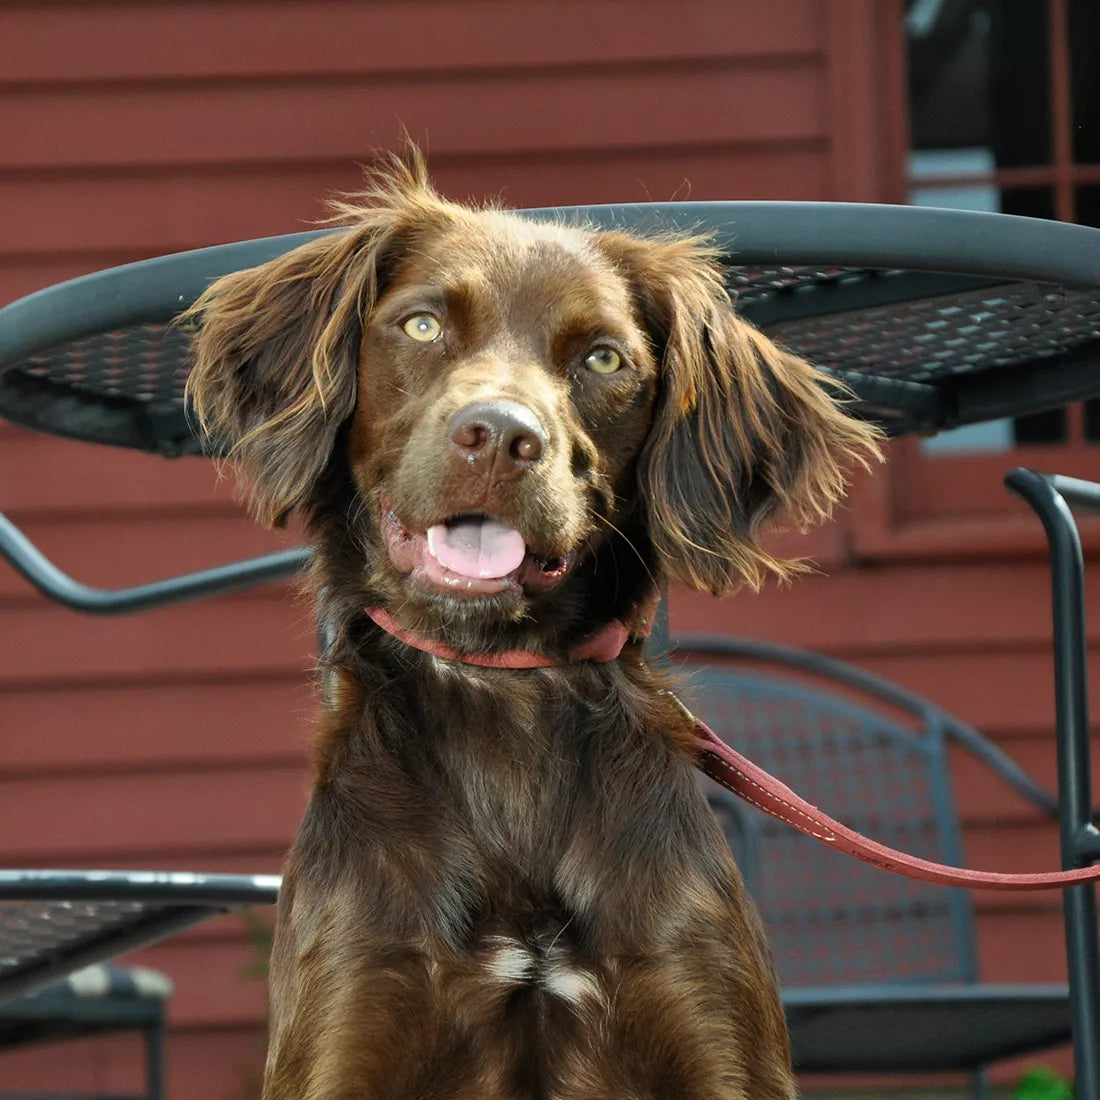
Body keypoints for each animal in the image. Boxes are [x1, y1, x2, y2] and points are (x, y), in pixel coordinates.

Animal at [184, 157, 880, 1100]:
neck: (501, 691)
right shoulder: (349, 1014)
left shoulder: (712, 1026)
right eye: (422, 323)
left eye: (603, 357)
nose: (500, 435)